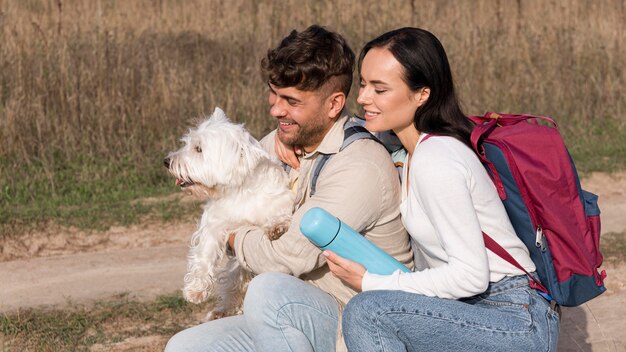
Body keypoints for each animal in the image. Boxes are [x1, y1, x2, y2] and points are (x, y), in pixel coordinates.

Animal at [165, 106, 294, 320]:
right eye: (188, 143)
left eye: (198, 149)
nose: (166, 161)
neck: (240, 191)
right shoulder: (214, 224)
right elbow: (204, 255)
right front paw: (195, 290)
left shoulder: (277, 201)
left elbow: (276, 214)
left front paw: (277, 226)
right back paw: (222, 310)